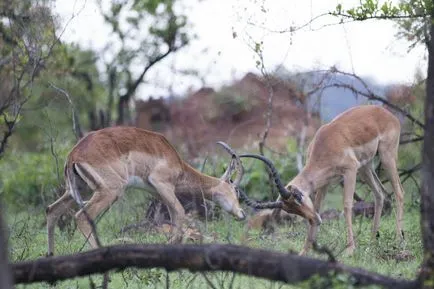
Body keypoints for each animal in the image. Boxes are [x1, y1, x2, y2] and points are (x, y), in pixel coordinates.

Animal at [46, 126, 248, 254]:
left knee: (51, 210)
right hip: (110, 191)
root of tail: (74, 155)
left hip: (72, 191)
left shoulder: (158, 192)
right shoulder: (162, 184)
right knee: (81, 216)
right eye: (236, 190)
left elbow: (174, 218)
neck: (176, 161)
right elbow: (180, 213)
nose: (242, 214)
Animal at [239, 105, 406, 254]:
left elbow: (347, 206)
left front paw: (350, 249)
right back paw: (372, 241)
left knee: (399, 192)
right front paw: (305, 250)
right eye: (290, 210)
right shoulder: (324, 183)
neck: (325, 145)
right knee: (379, 194)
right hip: (366, 167)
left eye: (298, 197)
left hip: (386, 156)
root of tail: (387, 113)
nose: (316, 220)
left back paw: (399, 239)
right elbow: (318, 207)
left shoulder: (350, 171)